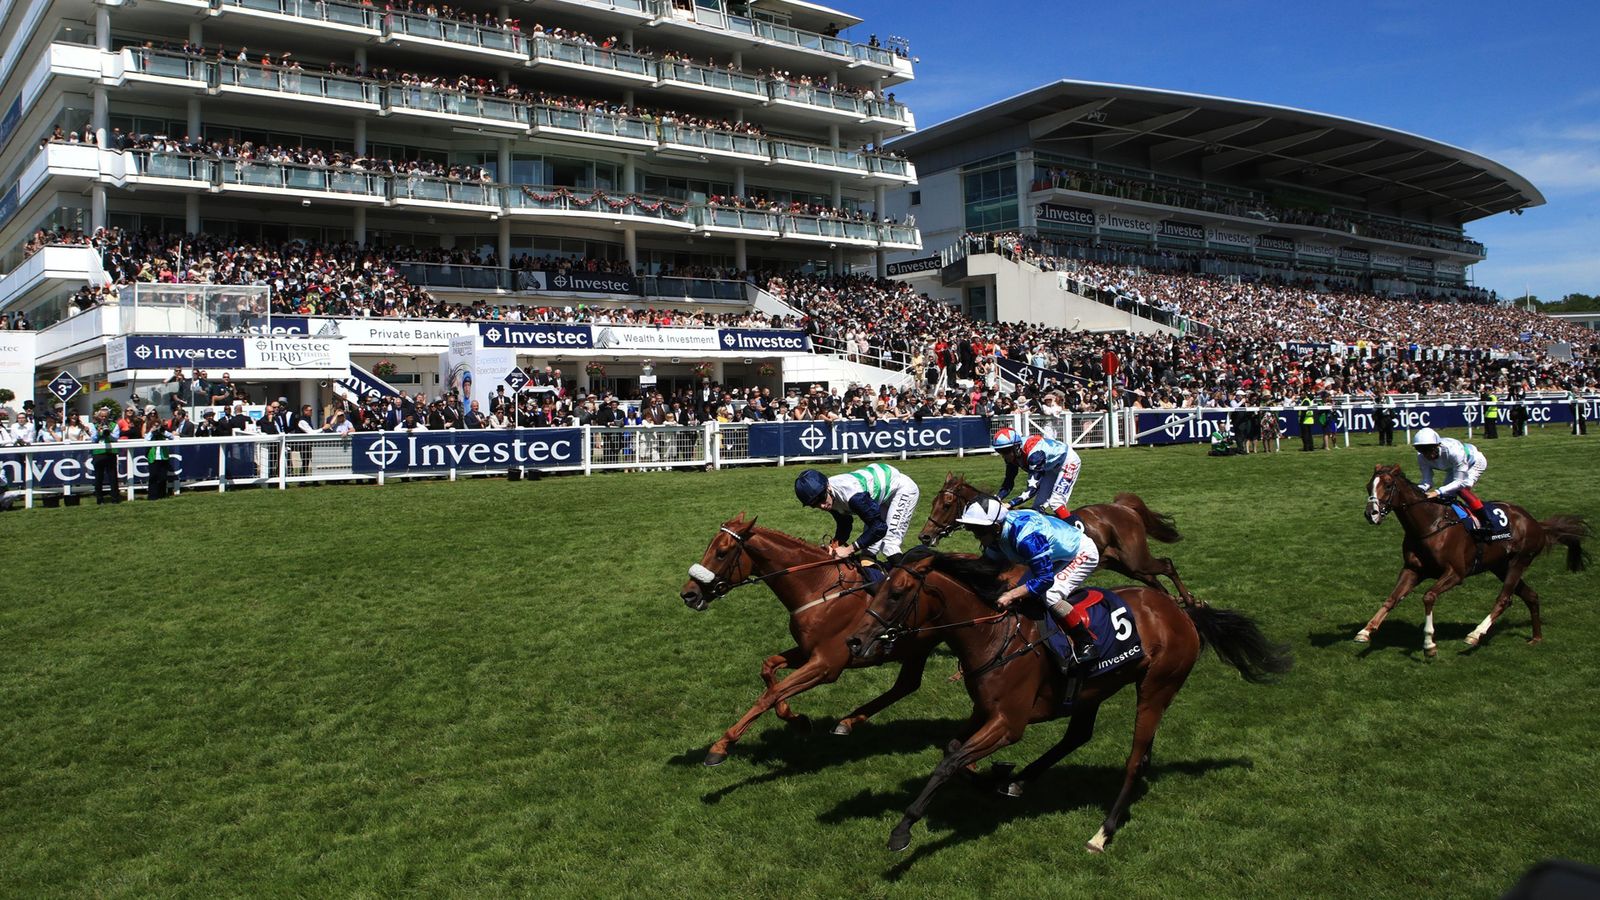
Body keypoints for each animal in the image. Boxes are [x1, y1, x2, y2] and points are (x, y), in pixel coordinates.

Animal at [678, 515, 947, 759]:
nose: (688, 594)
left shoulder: (827, 665)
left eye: (721, 553)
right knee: (906, 685)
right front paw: (797, 721)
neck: (819, 589)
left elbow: (770, 695)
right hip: (918, 649)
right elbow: (769, 670)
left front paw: (721, 745)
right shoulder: (808, 652)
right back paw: (847, 722)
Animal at [844, 547, 1292, 851]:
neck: (992, 635)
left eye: (897, 593)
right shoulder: (986, 710)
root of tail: (1179, 612)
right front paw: (991, 778)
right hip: (1095, 688)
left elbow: (949, 762)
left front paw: (902, 829)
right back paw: (1017, 782)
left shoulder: (1009, 723)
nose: (855, 641)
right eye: (878, 587)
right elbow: (952, 748)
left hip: (1157, 687)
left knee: (1135, 759)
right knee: (1080, 736)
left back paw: (1103, 831)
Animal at [921, 474, 1196, 605]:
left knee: (1167, 565)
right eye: (932, 502)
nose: (925, 535)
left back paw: (1189, 599)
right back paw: (1172, 600)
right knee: (1154, 581)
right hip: (1125, 565)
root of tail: (1123, 507)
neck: (1000, 523)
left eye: (946, 504)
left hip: (1135, 558)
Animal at [1363, 461, 1587, 650]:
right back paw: (1536, 637)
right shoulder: (1413, 569)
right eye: (1368, 486)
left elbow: (1428, 596)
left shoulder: (1456, 573)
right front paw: (1366, 630)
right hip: (1500, 566)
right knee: (1531, 596)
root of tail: (1536, 524)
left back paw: (1475, 634)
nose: (1371, 514)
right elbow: (1392, 598)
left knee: (1504, 599)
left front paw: (1429, 643)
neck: (1430, 525)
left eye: (1388, 485)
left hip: (1519, 560)